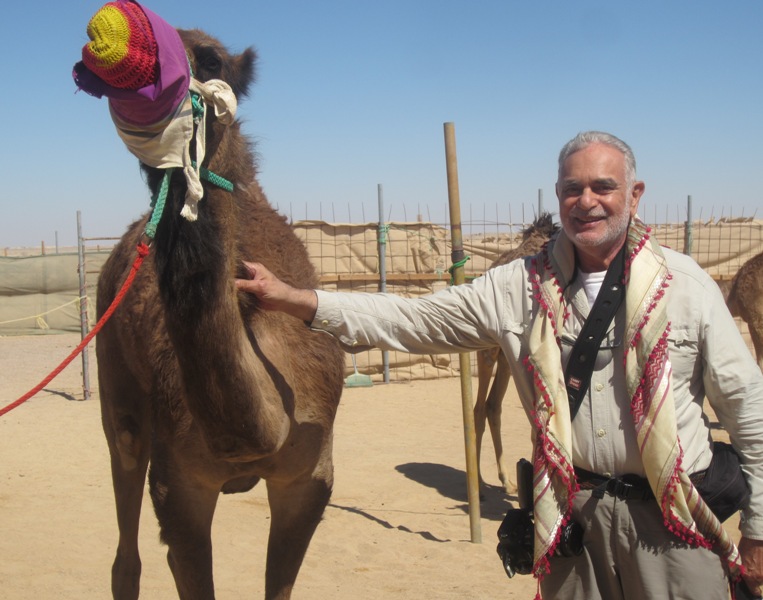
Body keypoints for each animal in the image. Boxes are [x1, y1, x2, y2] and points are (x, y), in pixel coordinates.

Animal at [474, 213, 560, 494]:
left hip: (506, 358)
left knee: (492, 405)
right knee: (478, 408)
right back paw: (480, 484)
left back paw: (506, 480)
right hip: (489, 350)